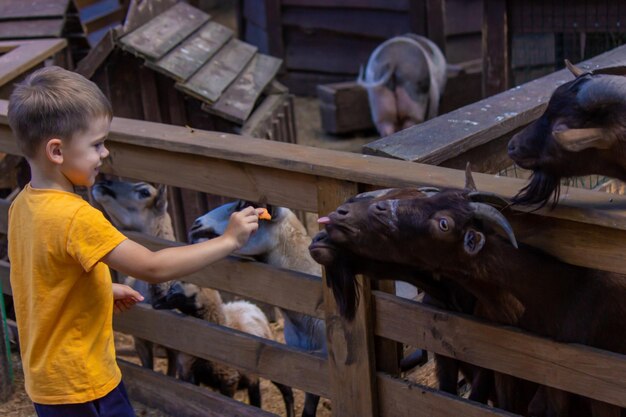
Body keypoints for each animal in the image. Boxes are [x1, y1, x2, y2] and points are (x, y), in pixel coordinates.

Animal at [153, 278, 294, 414]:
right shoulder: (188, 373)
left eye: (173, 291)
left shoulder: (228, 379)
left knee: (283, 392)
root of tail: (247, 303)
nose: (155, 304)